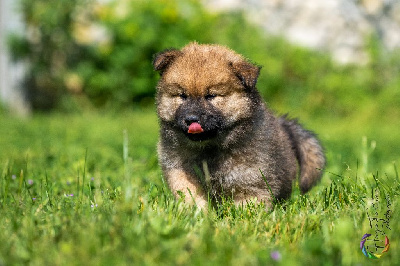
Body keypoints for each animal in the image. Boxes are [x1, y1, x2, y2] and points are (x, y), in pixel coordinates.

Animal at [153, 42, 324, 209]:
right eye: (182, 96)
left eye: (211, 96)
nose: (191, 119)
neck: (209, 148)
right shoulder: (180, 170)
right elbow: (191, 195)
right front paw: (197, 213)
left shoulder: (252, 180)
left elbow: (248, 205)